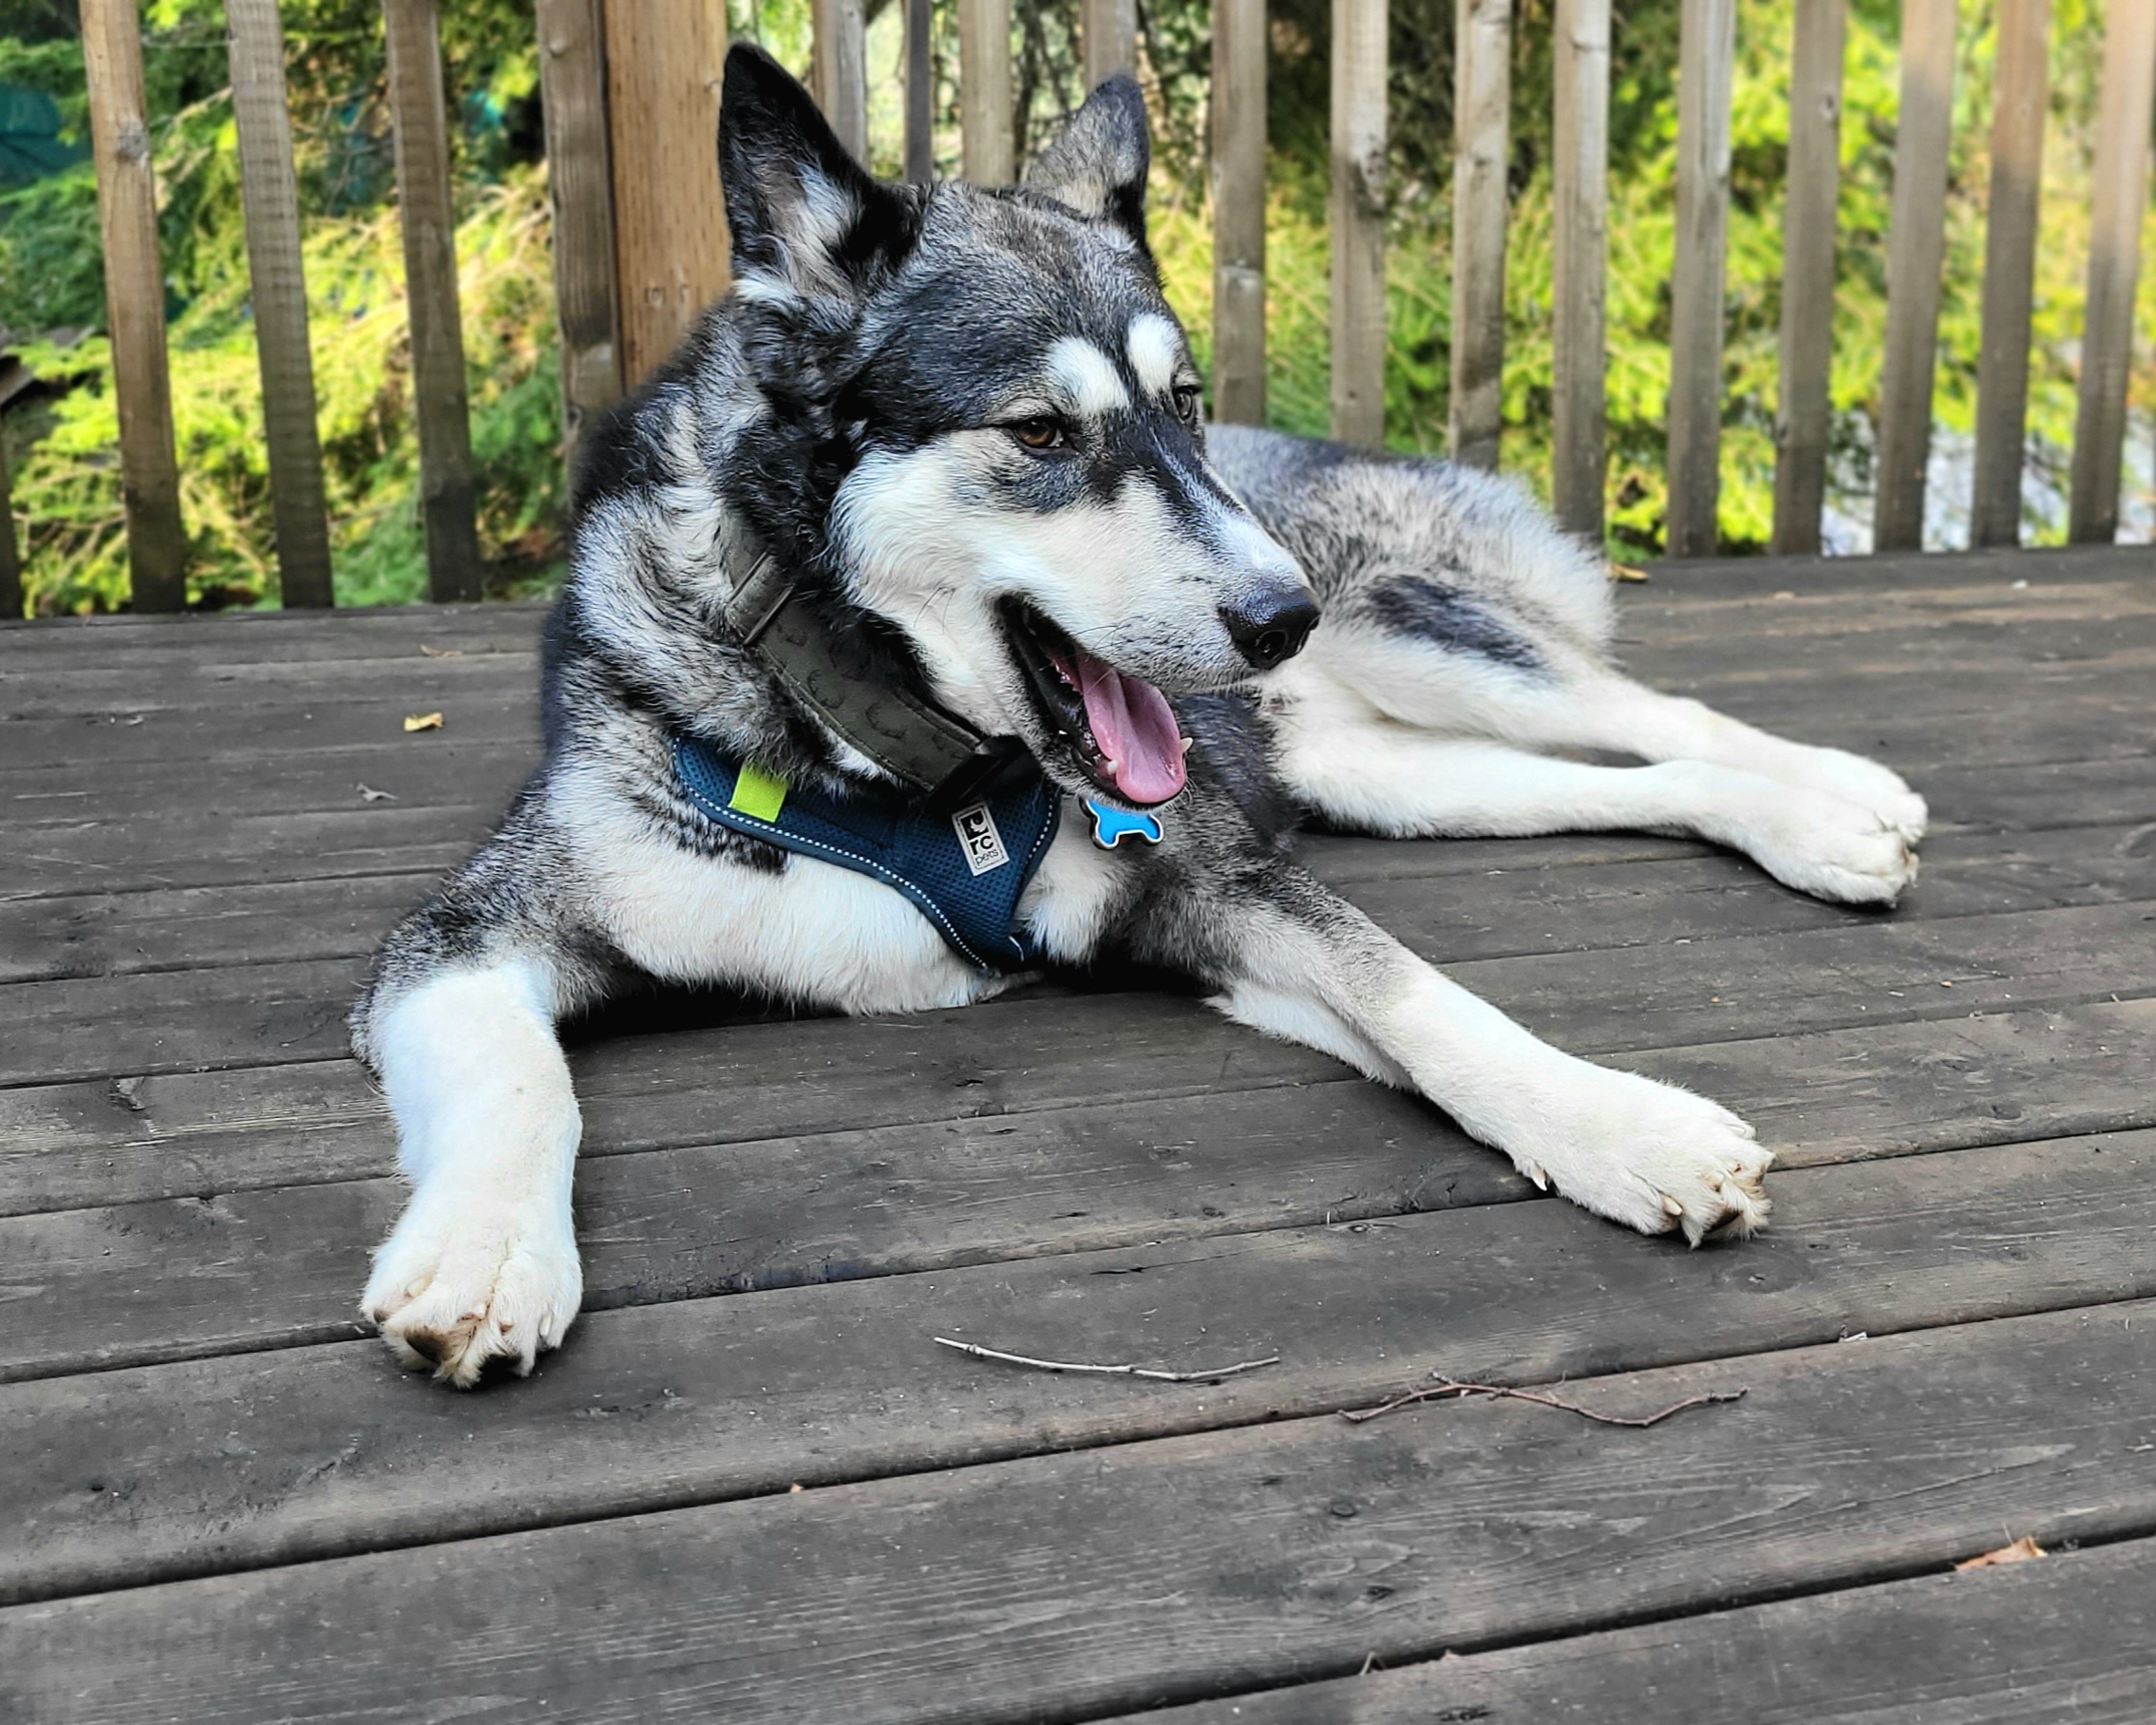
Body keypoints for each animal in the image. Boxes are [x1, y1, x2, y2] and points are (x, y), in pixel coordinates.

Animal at [351, 45, 1926, 1386]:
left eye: (1181, 403)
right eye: (1039, 434)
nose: (1282, 616)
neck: (909, 764)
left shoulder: (1217, 882)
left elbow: (1426, 997)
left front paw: (1618, 1123)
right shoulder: (468, 937)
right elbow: (523, 1078)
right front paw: (486, 1253)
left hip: (1417, 639)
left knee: (1639, 703)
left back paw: (1839, 797)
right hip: (1386, 772)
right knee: (1615, 771)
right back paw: (1812, 825)